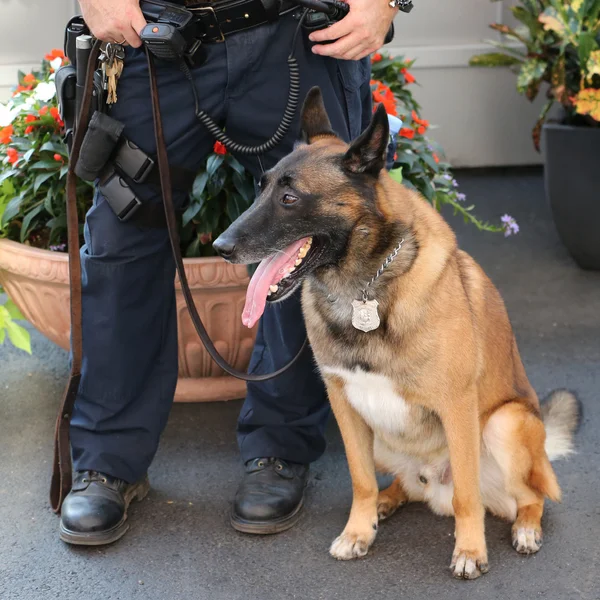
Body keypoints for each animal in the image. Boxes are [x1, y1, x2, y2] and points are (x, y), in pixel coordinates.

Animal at [213, 86, 580, 580]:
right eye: (261, 187)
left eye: (289, 197)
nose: (220, 247)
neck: (362, 289)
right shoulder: (345, 406)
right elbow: (361, 480)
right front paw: (359, 529)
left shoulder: (457, 406)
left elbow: (468, 496)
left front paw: (470, 550)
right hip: (382, 436)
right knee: (405, 485)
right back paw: (388, 503)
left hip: (505, 424)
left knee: (529, 496)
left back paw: (524, 526)